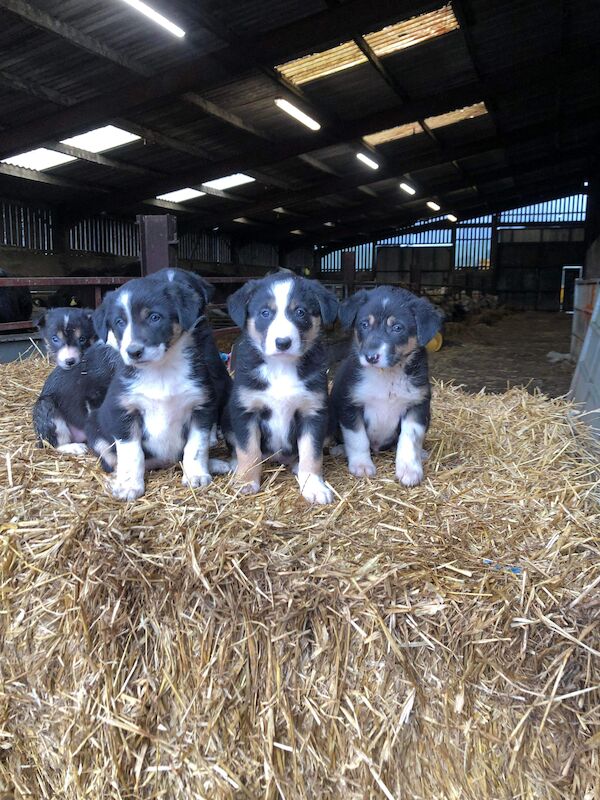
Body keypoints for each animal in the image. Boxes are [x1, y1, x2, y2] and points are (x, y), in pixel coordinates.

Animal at [86, 272, 232, 504]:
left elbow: (196, 447)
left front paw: (196, 475)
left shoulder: (201, 407)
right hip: (94, 429)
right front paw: (130, 486)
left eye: (154, 317)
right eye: (119, 322)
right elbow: (132, 454)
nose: (133, 351)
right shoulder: (123, 412)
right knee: (114, 461)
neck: (161, 370)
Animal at [224, 272, 338, 504]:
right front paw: (246, 481)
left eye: (300, 312)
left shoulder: (313, 412)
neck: (281, 367)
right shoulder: (245, 411)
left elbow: (312, 453)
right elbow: (248, 450)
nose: (283, 342)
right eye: (265, 313)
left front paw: (313, 485)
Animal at [330, 288, 442, 488]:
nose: (371, 357)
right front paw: (361, 466)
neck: (386, 375)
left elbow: (410, 439)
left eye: (397, 328)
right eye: (364, 324)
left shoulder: (417, 405)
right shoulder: (350, 405)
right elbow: (358, 439)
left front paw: (410, 470)